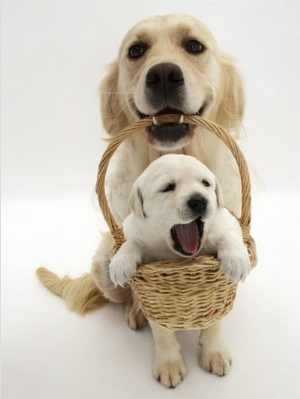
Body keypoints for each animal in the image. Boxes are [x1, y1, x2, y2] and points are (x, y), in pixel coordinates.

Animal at [109, 154, 250, 288]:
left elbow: (228, 234)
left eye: (205, 183)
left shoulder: (226, 221)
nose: (199, 201)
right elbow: (132, 242)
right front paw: (120, 263)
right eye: (168, 187)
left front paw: (237, 260)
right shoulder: (135, 230)